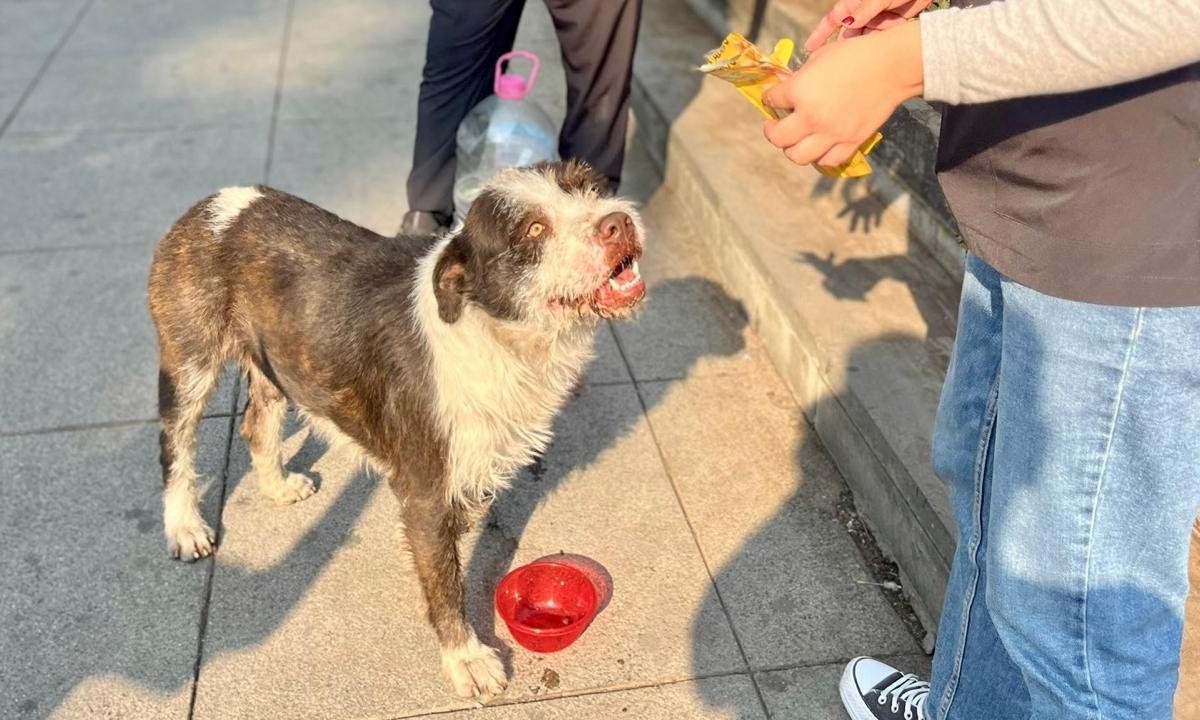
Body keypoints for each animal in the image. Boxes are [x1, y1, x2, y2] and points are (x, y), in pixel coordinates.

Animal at [147, 160, 648, 700]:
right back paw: (184, 526)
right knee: (175, 446)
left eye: (591, 187)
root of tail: (211, 203)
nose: (618, 222)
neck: (492, 333)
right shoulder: (425, 488)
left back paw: (276, 484)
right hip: (190, 362)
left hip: (276, 356)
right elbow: (445, 581)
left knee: (256, 420)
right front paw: (465, 657)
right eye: (533, 230)